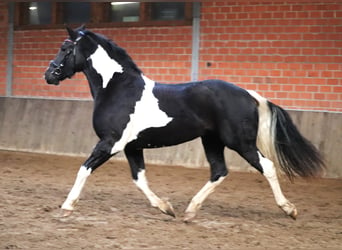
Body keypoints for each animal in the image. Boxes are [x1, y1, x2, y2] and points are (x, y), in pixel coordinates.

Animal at [44, 26, 324, 223]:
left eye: (65, 48)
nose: (49, 74)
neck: (118, 89)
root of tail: (249, 94)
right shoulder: (132, 147)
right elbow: (139, 179)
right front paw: (166, 208)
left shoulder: (111, 143)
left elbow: (84, 169)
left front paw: (66, 207)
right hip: (212, 141)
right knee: (219, 171)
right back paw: (190, 211)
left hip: (240, 142)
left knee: (266, 166)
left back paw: (289, 209)